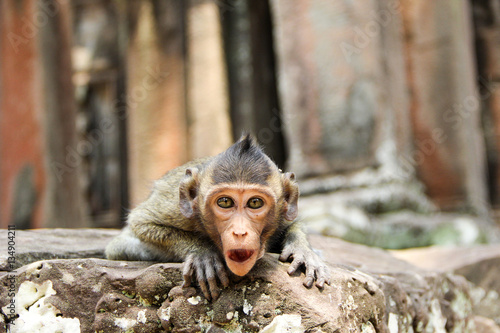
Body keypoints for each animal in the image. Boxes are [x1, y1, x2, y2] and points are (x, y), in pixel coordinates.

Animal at [105, 134, 330, 300]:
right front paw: (202, 252)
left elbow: (294, 223)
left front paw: (303, 251)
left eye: (255, 203)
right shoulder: (176, 210)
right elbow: (141, 221)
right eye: (225, 202)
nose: (240, 231)